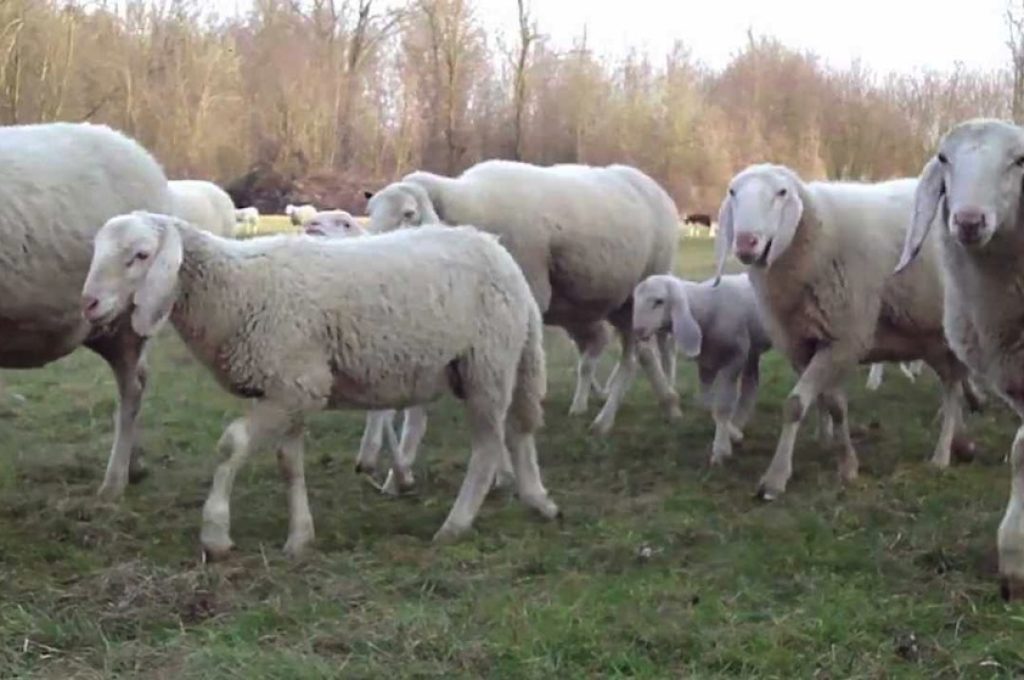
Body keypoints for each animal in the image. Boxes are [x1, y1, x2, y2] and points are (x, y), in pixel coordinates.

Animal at [81, 211, 559, 558]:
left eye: (140, 255)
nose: (88, 303)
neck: (234, 289)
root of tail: (499, 252)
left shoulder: (295, 384)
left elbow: (232, 444)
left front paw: (215, 533)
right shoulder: (289, 390)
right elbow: (288, 464)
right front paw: (299, 538)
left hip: (487, 365)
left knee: (488, 447)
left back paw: (455, 525)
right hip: (499, 361)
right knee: (519, 431)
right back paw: (537, 499)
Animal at [363, 159, 681, 438]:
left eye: (408, 213)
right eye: (370, 210)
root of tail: (649, 182)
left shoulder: (530, 296)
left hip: (643, 290)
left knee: (639, 355)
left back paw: (615, 417)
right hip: (609, 303)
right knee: (632, 352)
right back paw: (657, 402)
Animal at [633, 272, 772, 465]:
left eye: (659, 301)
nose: (637, 331)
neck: (707, 311)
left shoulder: (734, 360)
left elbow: (722, 407)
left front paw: (721, 450)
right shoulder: (705, 363)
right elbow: (705, 402)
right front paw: (734, 434)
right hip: (752, 349)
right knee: (750, 384)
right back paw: (739, 421)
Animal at [714, 163, 975, 501]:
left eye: (781, 193)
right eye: (732, 192)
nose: (746, 243)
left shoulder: (844, 338)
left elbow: (795, 405)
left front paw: (775, 478)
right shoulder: (804, 344)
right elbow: (833, 404)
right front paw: (847, 464)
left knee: (954, 388)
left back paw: (942, 455)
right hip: (930, 337)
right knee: (953, 384)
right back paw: (960, 441)